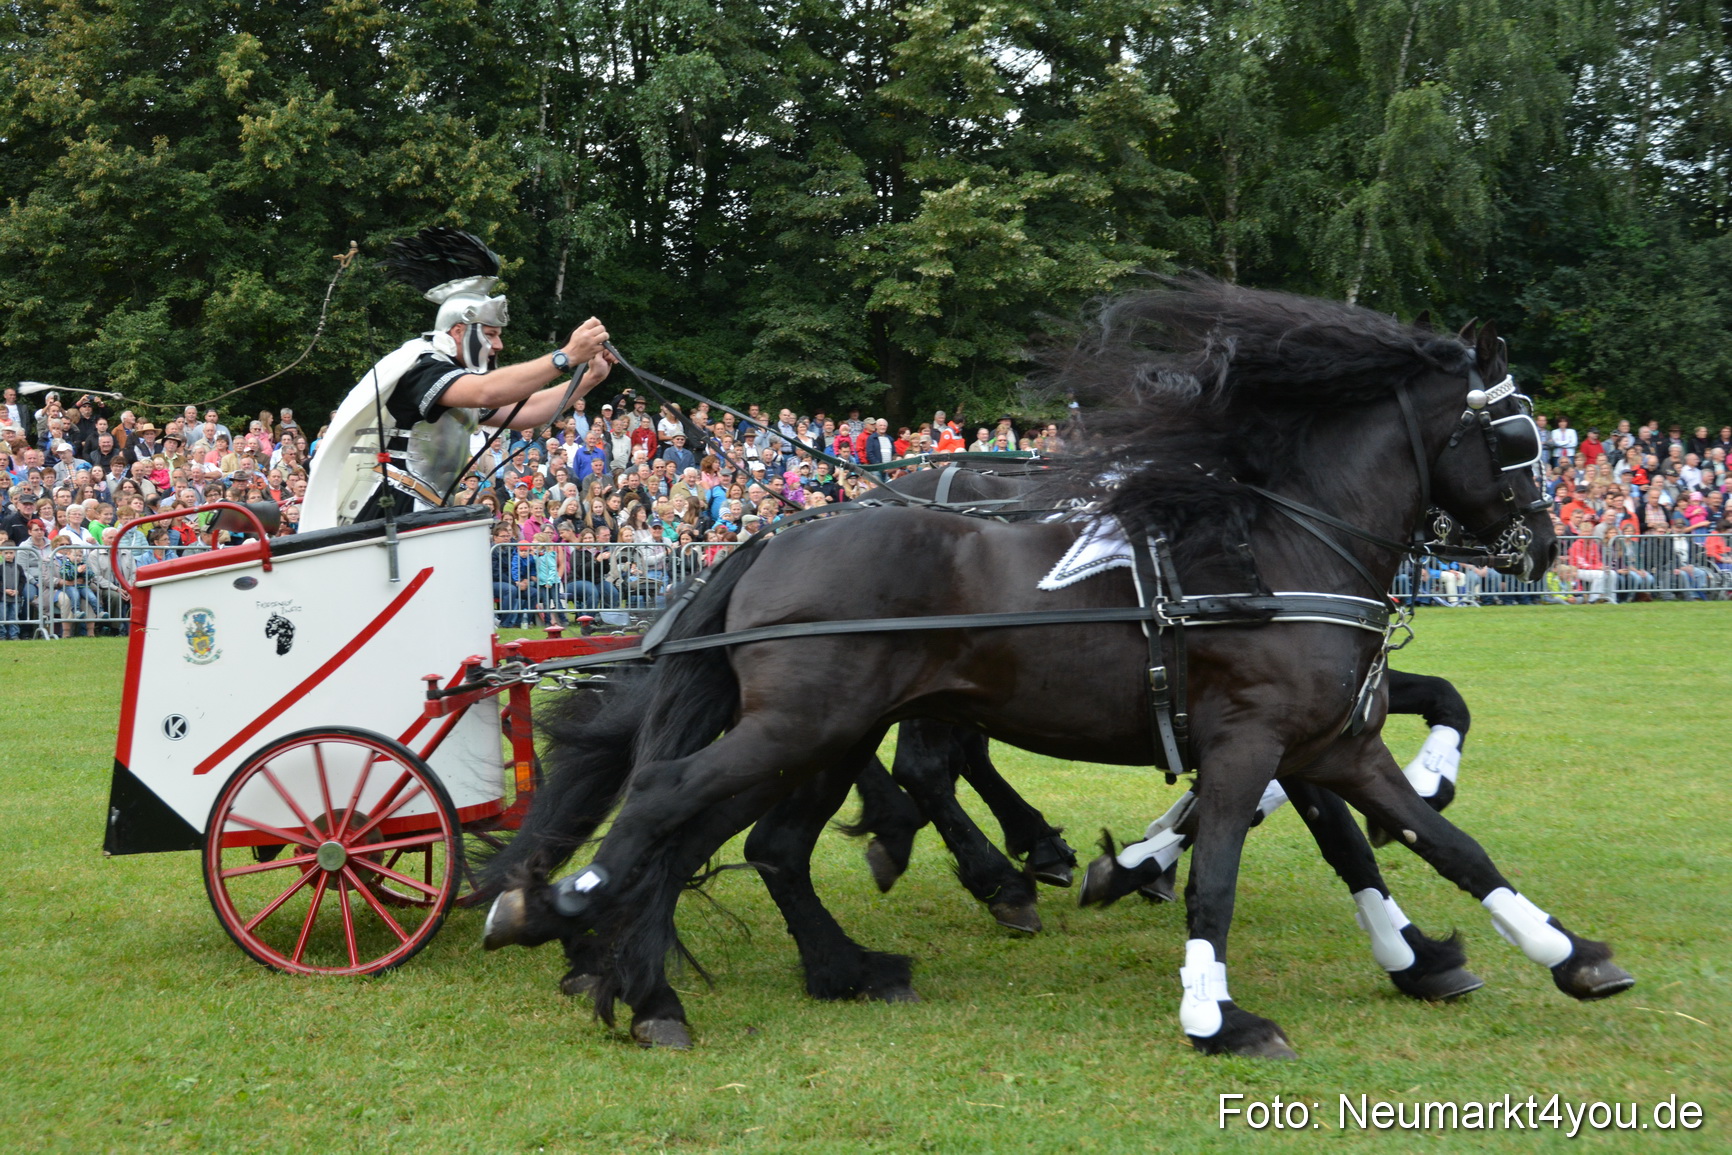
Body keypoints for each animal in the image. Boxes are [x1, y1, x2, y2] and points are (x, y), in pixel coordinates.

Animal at [486, 282, 1629, 1057]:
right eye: (1519, 433)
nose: (1541, 543)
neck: (1279, 544)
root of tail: (776, 538)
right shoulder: (1250, 739)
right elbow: (1225, 869)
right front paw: (1214, 1008)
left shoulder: (1328, 741)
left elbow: (1442, 844)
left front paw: (1545, 956)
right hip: (803, 725)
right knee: (671, 802)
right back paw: (562, 912)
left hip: (823, 732)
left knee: (749, 837)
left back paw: (759, 972)